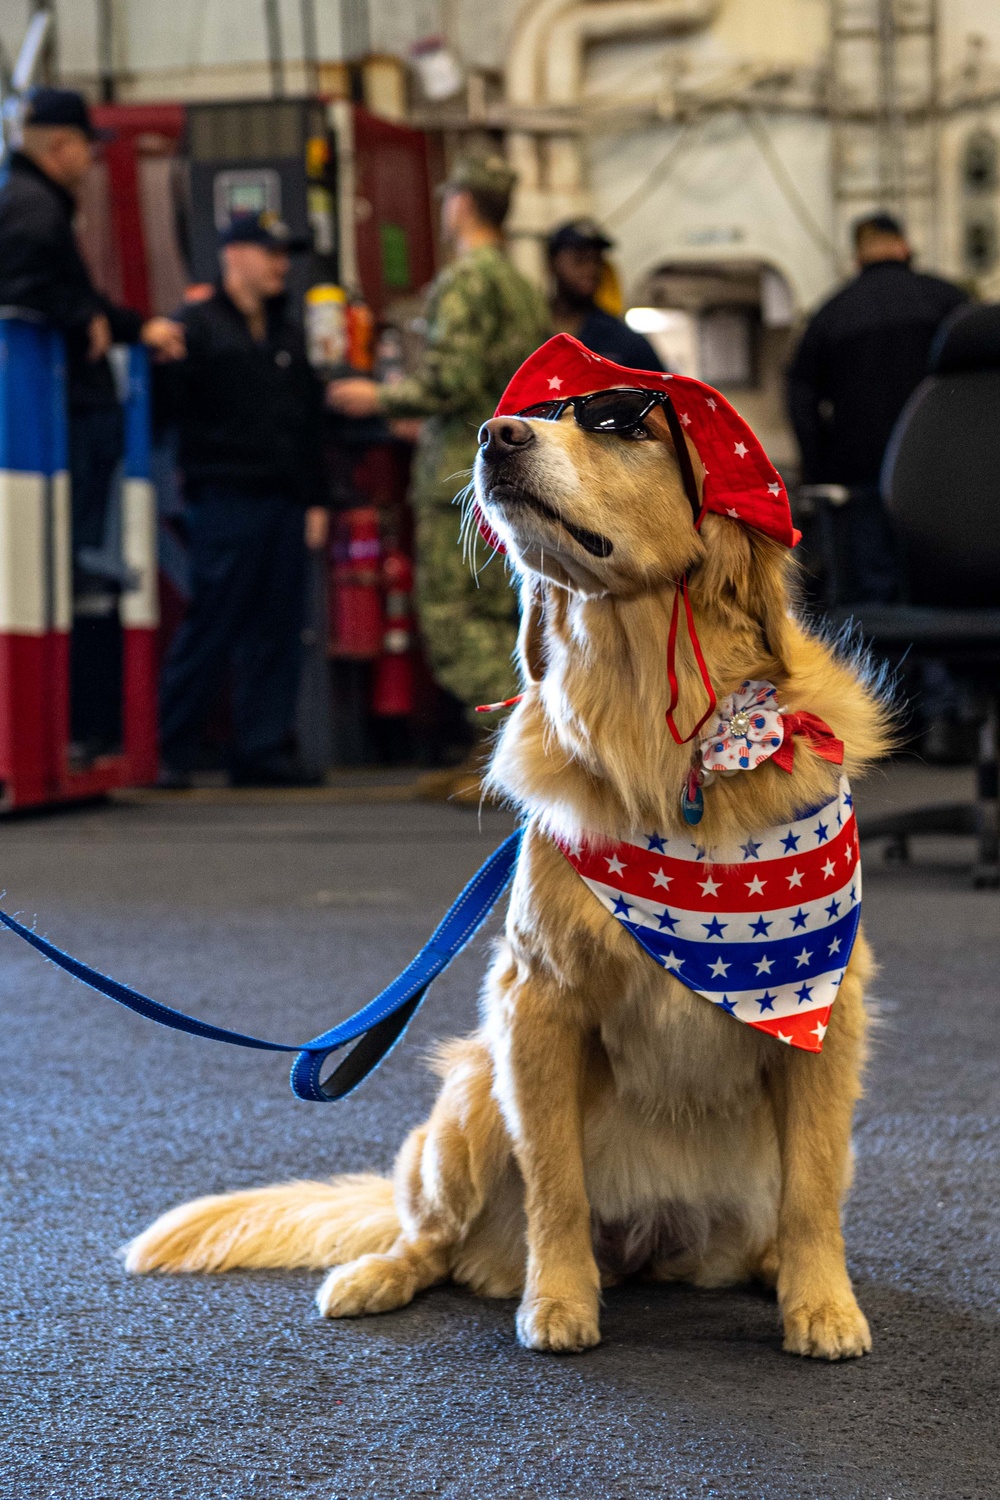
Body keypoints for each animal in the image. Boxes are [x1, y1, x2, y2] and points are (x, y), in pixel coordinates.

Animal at [127, 345, 893, 1368]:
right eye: (542, 412)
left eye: (620, 423)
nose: (497, 435)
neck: (655, 737)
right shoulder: (538, 1004)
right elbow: (557, 1184)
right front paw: (559, 1300)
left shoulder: (827, 1015)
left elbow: (815, 1186)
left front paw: (822, 1305)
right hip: (470, 1093)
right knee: (429, 1234)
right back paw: (378, 1277)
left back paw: (770, 1268)